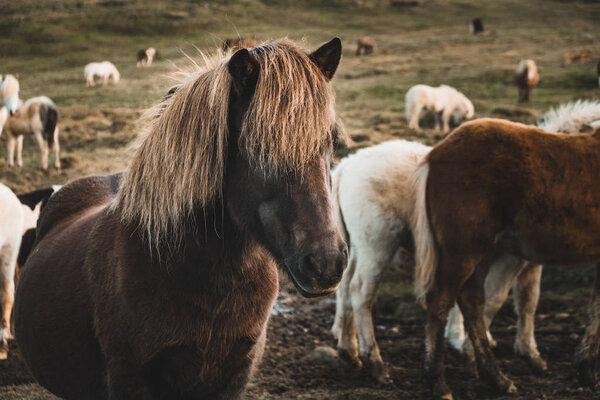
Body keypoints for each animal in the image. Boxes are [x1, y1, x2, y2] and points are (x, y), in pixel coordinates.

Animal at [330, 141, 548, 384]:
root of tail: (347, 165)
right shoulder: (507, 257)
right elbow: (494, 299)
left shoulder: (527, 260)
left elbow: (528, 300)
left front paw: (530, 353)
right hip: (376, 241)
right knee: (360, 291)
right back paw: (375, 364)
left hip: (354, 243)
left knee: (345, 286)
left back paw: (348, 349)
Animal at [412, 117, 600, 398]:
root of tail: (435, 154)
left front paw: (586, 369)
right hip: (463, 250)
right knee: (440, 300)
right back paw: (438, 383)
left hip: (483, 252)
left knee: (472, 301)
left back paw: (496, 379)